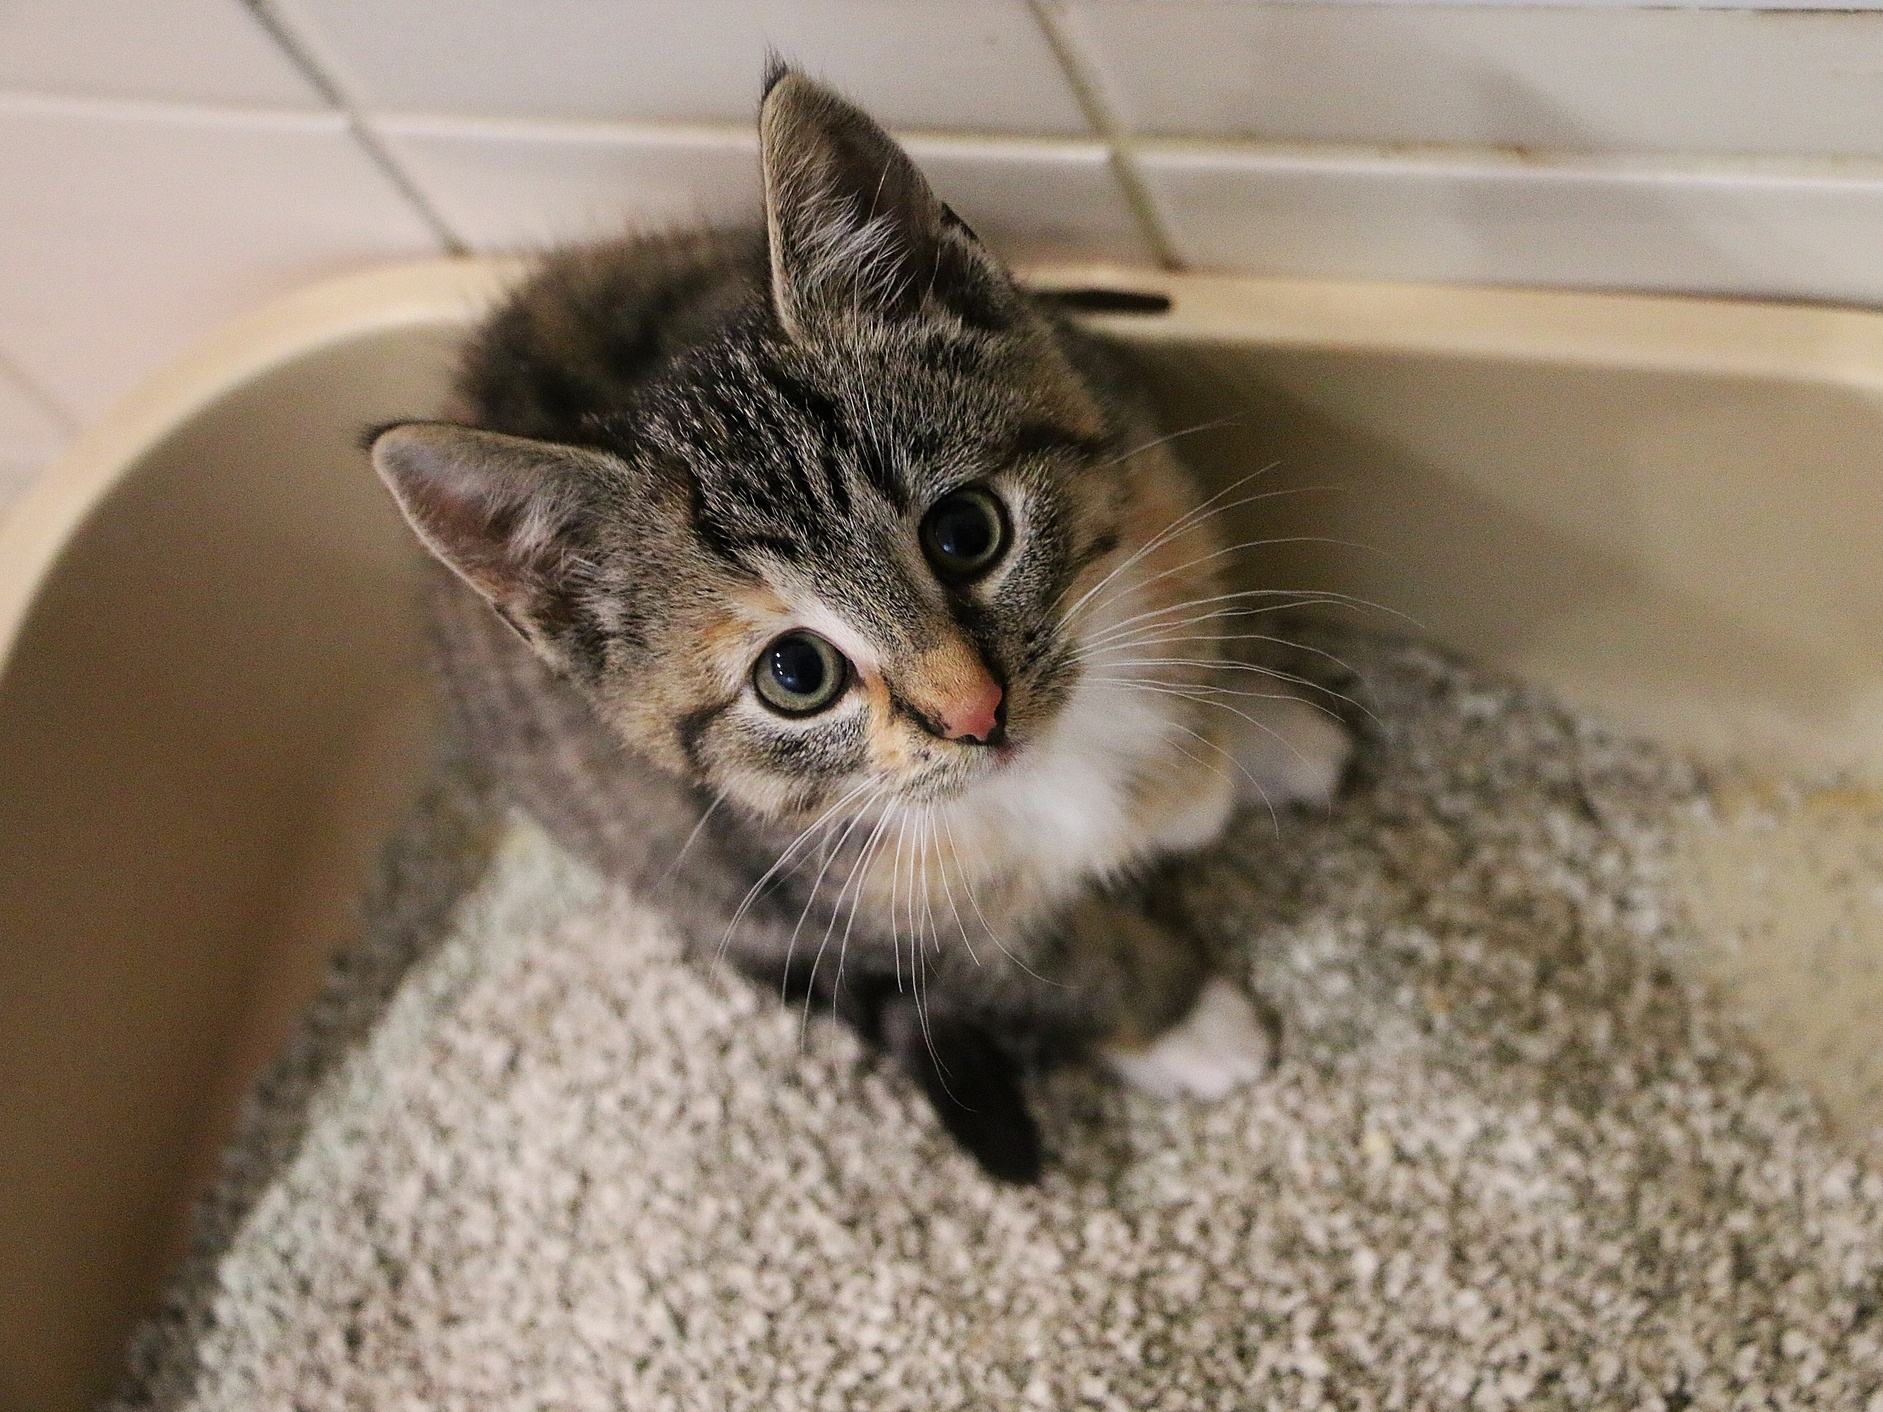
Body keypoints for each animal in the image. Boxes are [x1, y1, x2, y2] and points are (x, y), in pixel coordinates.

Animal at [367, 66, 1348, 1182]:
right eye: (795, 674)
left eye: (965, 531)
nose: (974, 712)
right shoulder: (850, 895)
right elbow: (1033, 964)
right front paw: (1182, 1021)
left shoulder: (1147, 474)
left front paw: (1241, 738)